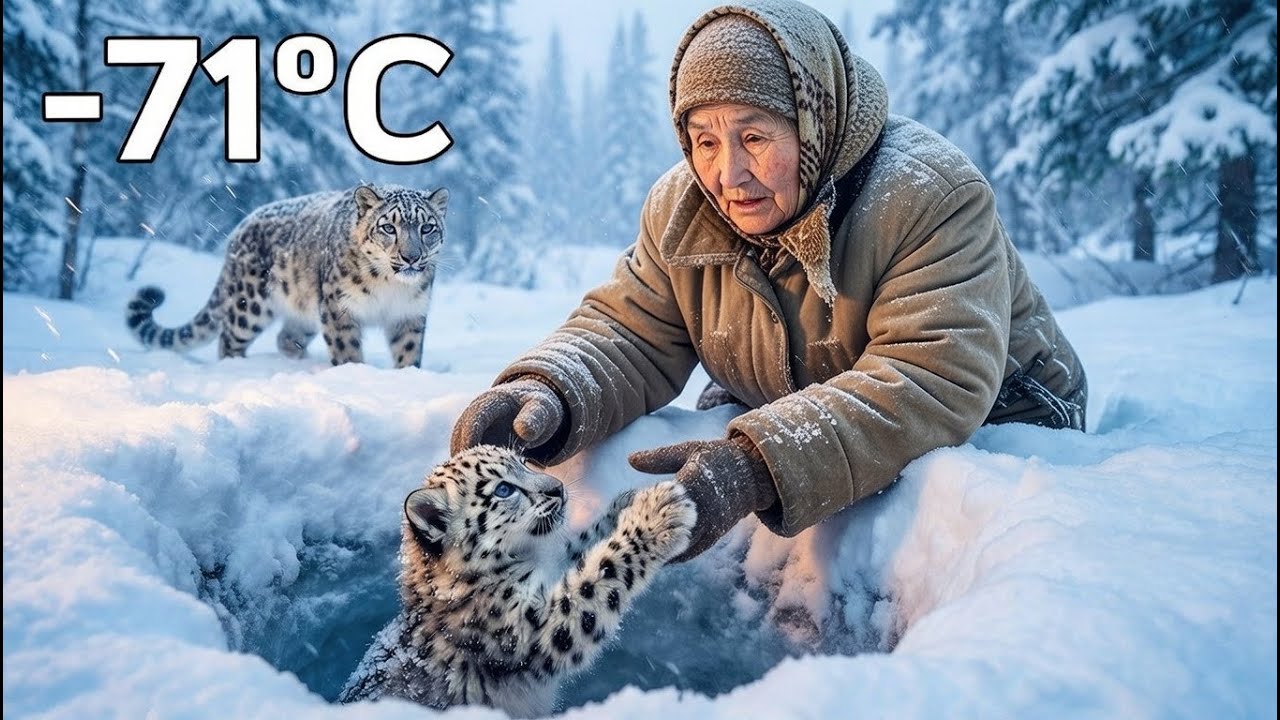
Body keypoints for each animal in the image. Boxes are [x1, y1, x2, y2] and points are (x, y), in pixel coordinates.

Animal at [125, 183, 448, 369]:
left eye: (427, 227)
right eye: (388, 227)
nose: (411, 257)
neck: (390, 288)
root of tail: (239, 230)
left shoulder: (409, 313)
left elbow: (408, 353)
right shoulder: (339, 309)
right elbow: (346, 350)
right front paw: (354, 373)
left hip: (304, 309)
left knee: (286, 336)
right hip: (250, 304)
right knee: (229, 338)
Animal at [338, 444, 696, 717]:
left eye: (524, 462)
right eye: (503, 489)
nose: (557, 487)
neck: (526, 561)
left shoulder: (552, 570)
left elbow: (580, 551)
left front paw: (626, 504)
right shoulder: (531, 629)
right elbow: (596, 576)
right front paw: (657, 514)